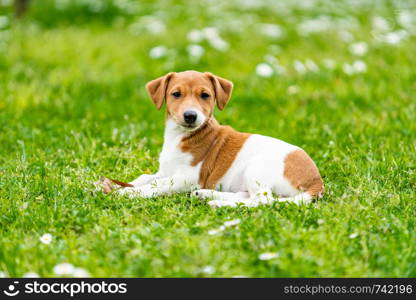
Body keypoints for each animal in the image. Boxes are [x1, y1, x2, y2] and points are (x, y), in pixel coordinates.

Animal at [111, 70, 324, 207]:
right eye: (176, 94)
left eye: (205, 95)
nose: (190, 116)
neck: (179, 136)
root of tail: (316, 181)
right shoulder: (166, 171)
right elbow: (145, 178)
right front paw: (115, 186)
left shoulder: (188, 177)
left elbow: (158, 185)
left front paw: (129, 193)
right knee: (246, 195)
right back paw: (206, 195)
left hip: (257, 169)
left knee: (262, 201)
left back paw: (219, 204)